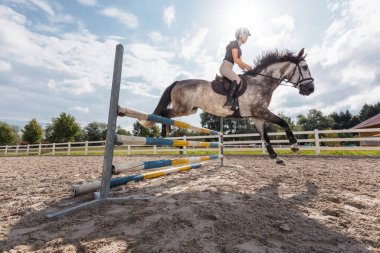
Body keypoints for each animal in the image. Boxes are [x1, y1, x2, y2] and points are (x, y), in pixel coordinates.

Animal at [141, 49, 314, 164]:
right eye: (305, 68)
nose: (311, 89)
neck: (262, 82)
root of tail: (177, 82)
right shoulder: (262, 111)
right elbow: (283, 122)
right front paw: (295, 146)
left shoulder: (257, 117)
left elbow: (265, 136)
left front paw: (276, 157)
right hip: (183, 109)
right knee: (164, 113)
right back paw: (165, 133)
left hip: (190, 110)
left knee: (165, 113)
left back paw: (167, 131)